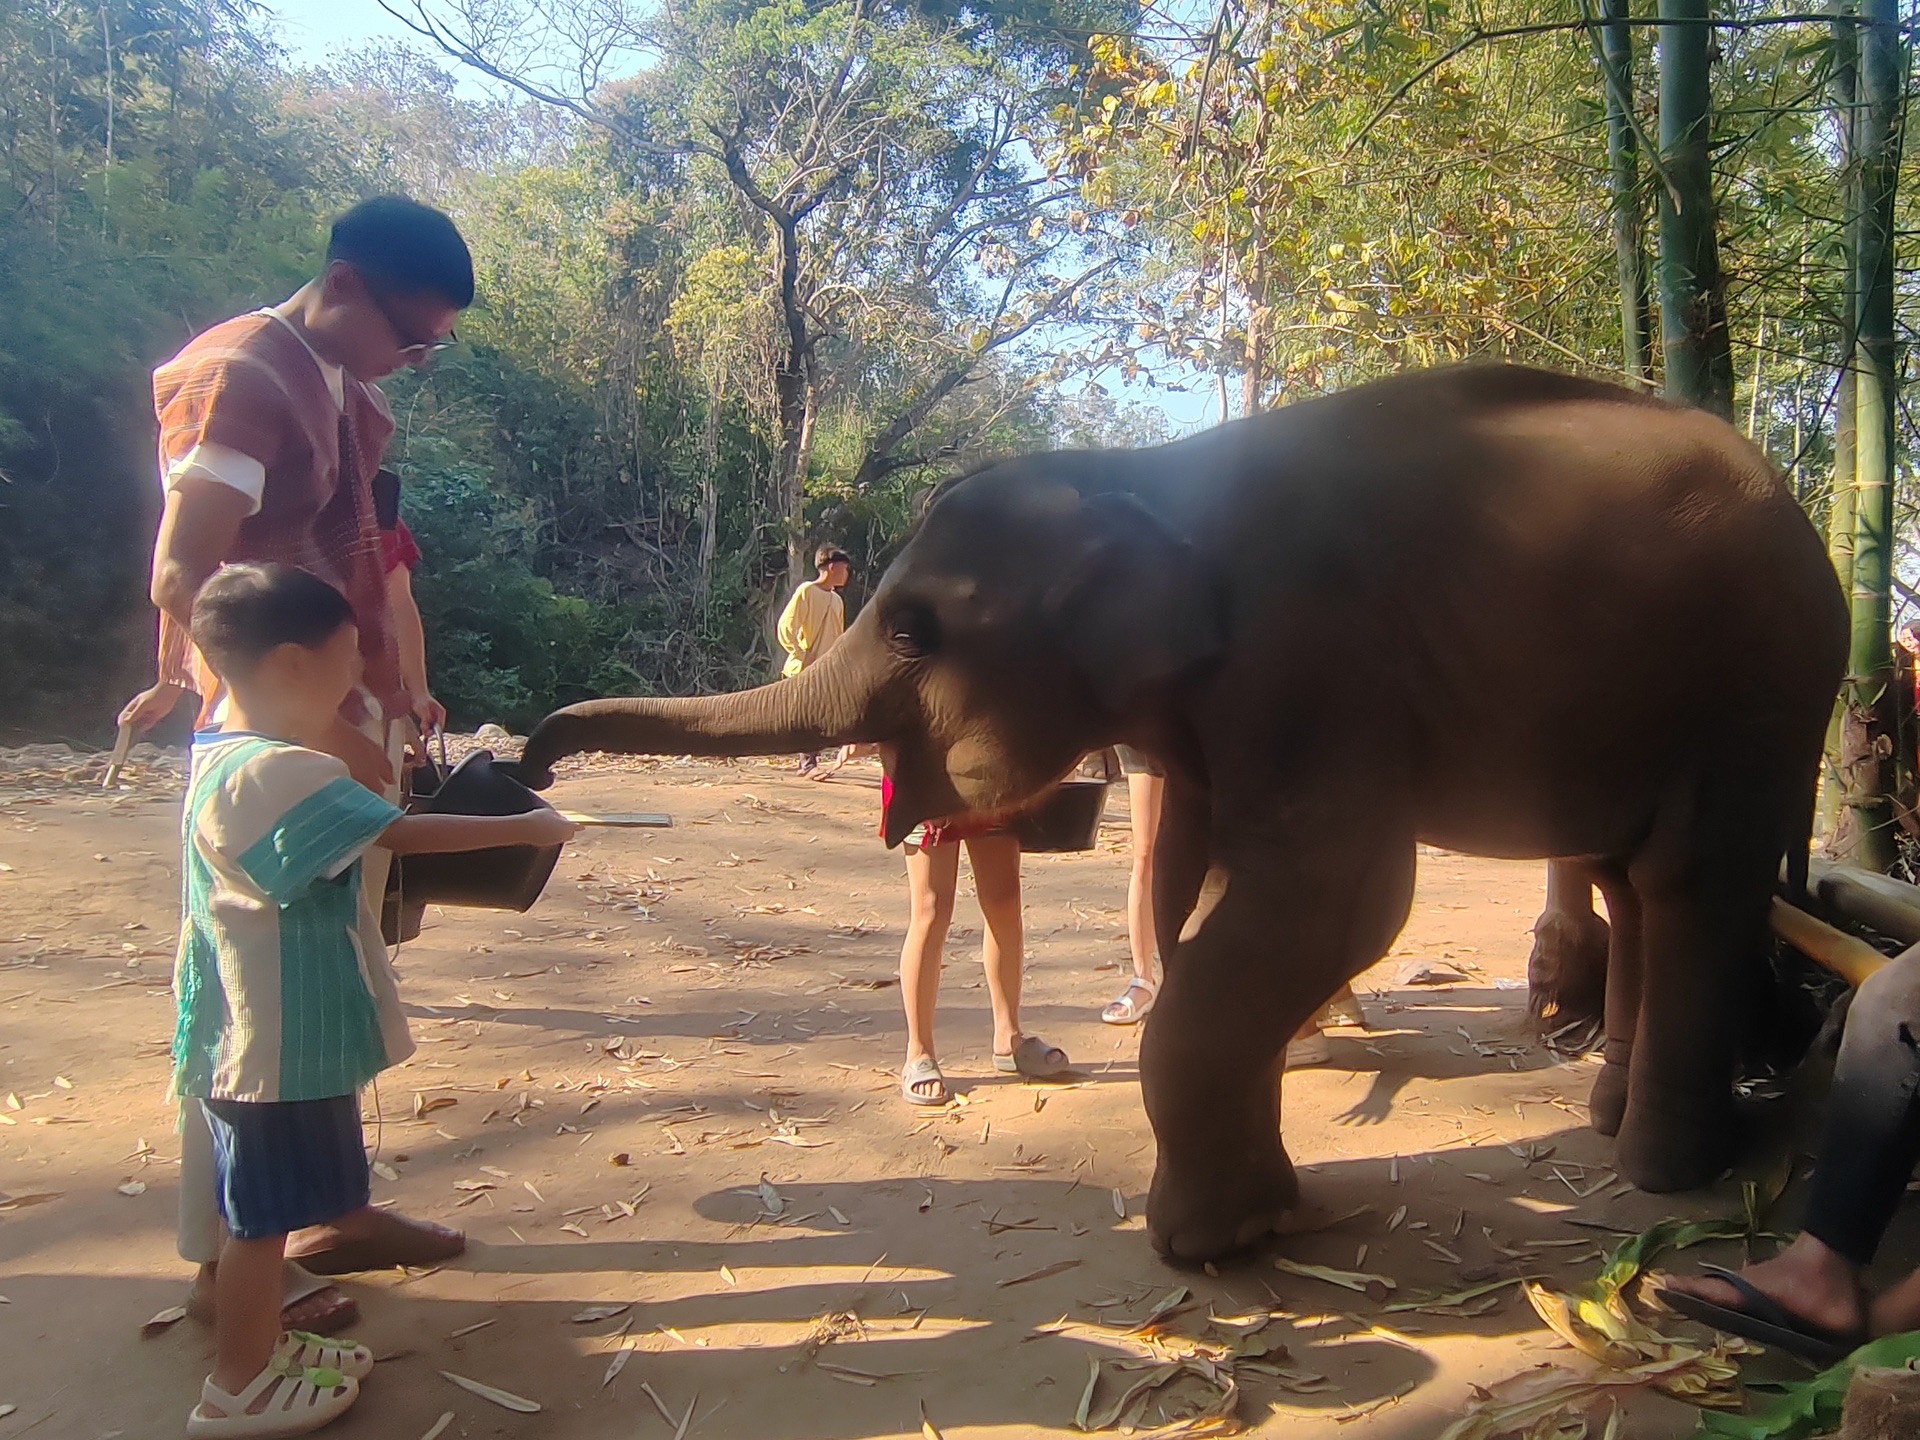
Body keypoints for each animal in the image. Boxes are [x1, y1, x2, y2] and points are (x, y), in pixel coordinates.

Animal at [522, 362, 1843, 1259]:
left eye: (914, 630)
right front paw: (1259, 1215)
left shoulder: (1311, 654)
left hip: (1759, 693)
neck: (1143, 466)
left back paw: (1668, 1175)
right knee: (1634, 876)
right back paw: (1613, 1123)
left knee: (1690, 880)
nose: (531, 759)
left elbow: (1343, 894)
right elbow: (1199, 881)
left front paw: (1216, 1245)